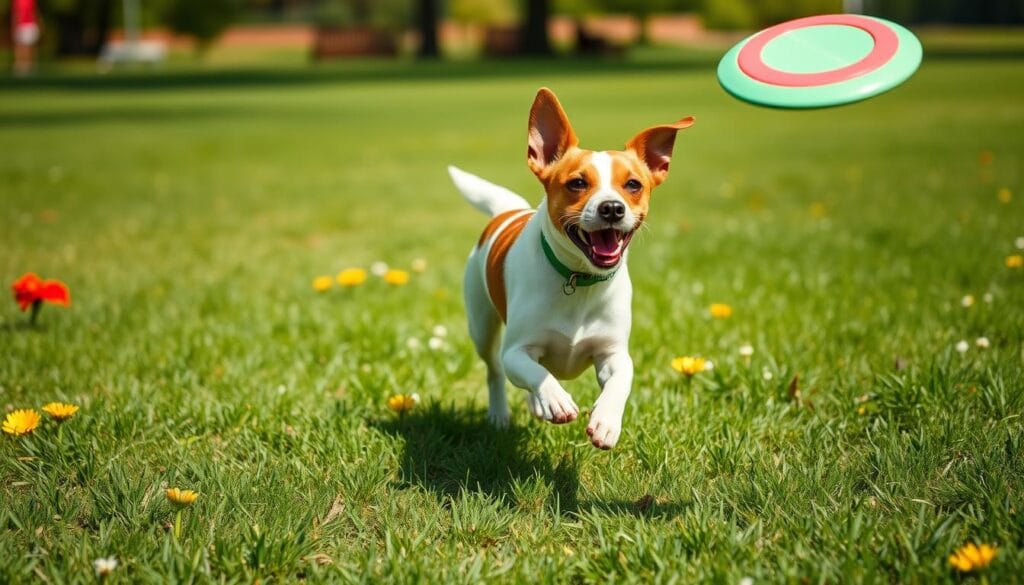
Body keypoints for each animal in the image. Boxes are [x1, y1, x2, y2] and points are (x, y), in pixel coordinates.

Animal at [450, 88, 696, 448]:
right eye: (578, 183)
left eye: (633, 185)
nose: (612, 208)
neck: (579, 279)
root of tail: (508, 211)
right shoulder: (516, 352)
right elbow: (535, 371)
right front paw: (554, 398)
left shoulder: (612, 353)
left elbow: (621, 380)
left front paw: (606, 420)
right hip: (481, 326)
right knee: (494, 371)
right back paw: (501, 413)